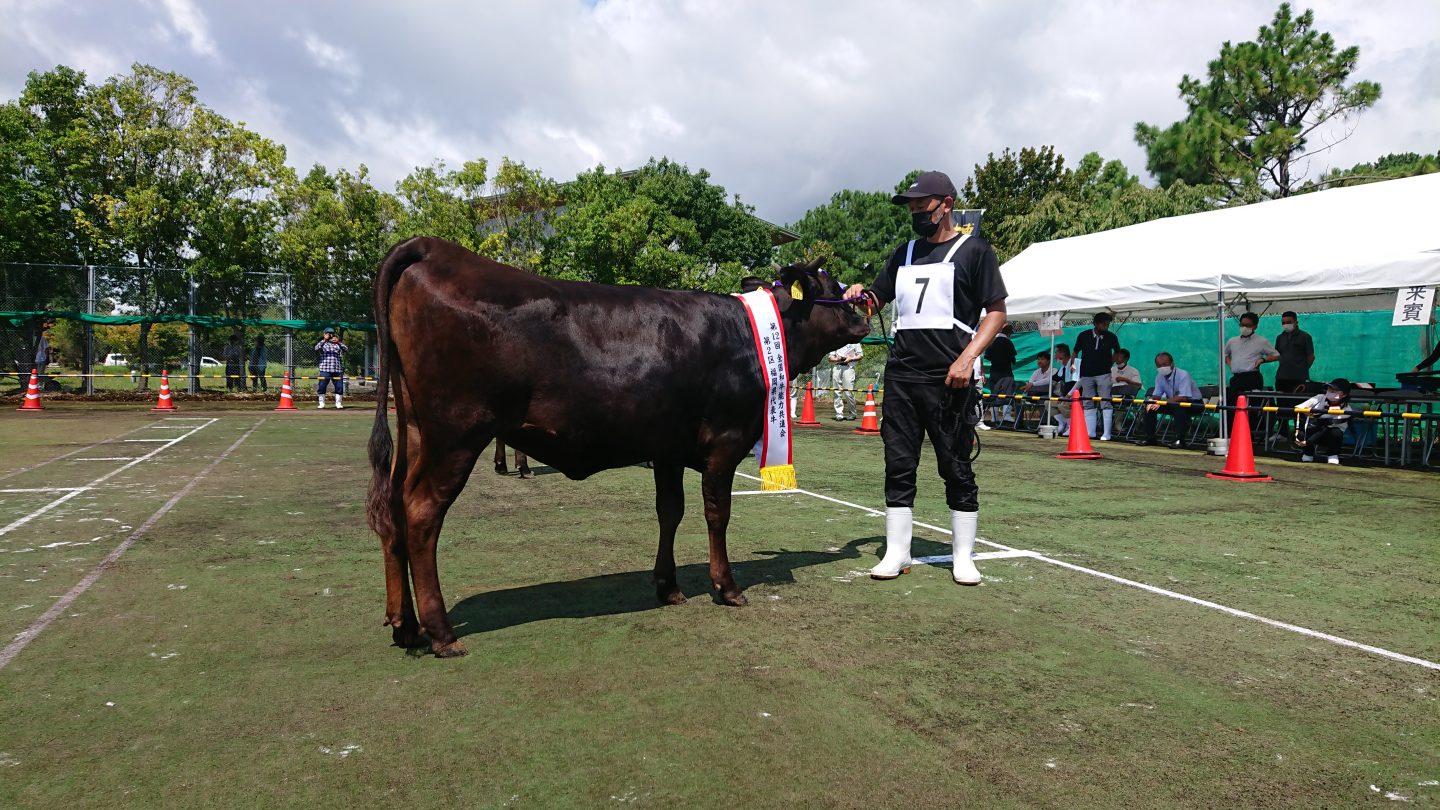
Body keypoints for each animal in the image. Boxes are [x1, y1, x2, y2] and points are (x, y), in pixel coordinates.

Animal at [365, 236, 869, 651]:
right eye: (830, 284)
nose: (863, 310)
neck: (749, 335)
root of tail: (432, 247)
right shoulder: (725, 441)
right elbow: (717, 514)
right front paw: (726, 587)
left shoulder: (667, 448)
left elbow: (670, 511)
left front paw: (668, 586)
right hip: (455, 431)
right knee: (421, 513)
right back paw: (440, 631)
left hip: (415, 427)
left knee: (392, 507)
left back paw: (404, 625)